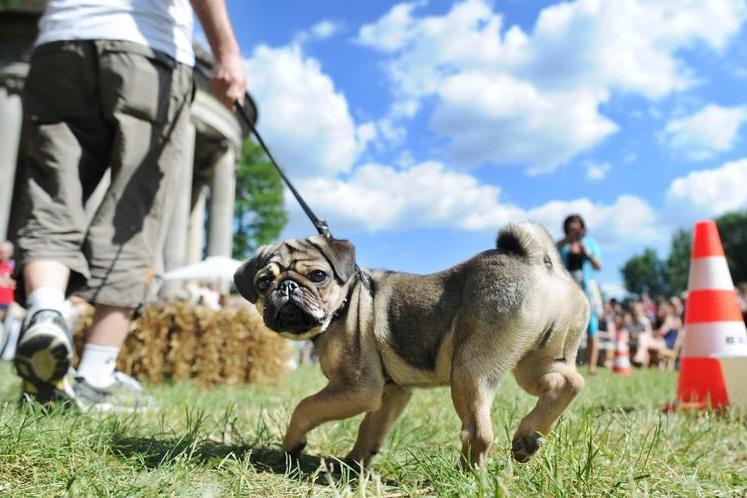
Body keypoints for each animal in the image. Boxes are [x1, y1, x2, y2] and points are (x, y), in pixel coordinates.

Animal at [235, 222, 592, 466]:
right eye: (264, 283)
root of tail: (538, 264)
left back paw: (467, 475)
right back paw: (528, 437)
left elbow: (305, 406)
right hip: (536, 362)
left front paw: (292, 444)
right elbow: (371, 429)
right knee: (567, 383)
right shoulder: (390, 393)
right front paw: (354, 463)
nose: (288, 287)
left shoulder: (356, 388)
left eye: (318, 276)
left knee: (479, 431)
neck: (345, 302)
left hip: (469, 370)